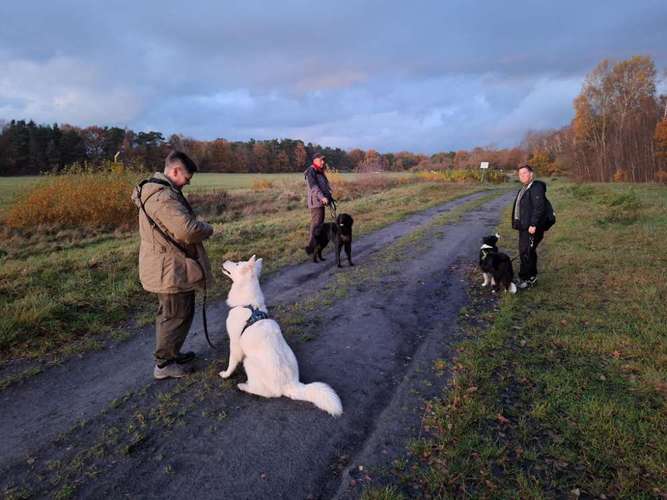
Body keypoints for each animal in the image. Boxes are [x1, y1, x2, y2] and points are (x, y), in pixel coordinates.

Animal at [220, 256, 344, 416]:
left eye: (236, 263)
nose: (224, 260)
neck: (249, 305)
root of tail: (291, 385)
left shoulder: (235, 344)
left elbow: (231, 363)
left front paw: (225, 374)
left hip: (249, 362)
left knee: (267, 393)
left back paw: (244, 386)